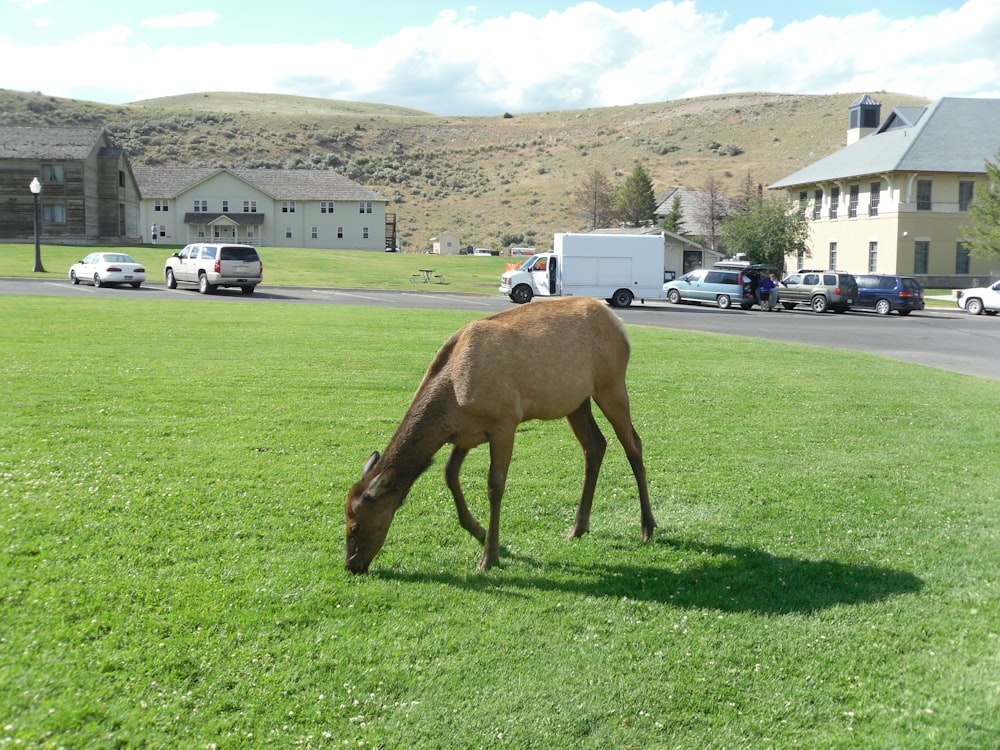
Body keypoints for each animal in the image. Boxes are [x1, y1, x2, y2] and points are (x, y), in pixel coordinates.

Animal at [344, 296, 656, 572]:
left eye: (355, 526)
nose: (351, 566)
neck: (452, 399)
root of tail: (619, 324)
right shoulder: (465, 433)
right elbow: (450, 473)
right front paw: (478, 530)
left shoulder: (504, 422)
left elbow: (495, 486)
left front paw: (489, 555)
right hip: (576, 401)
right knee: (595, 445)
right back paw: (579, 526)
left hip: (611, 384)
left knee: (633, 444)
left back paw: (647, 527)